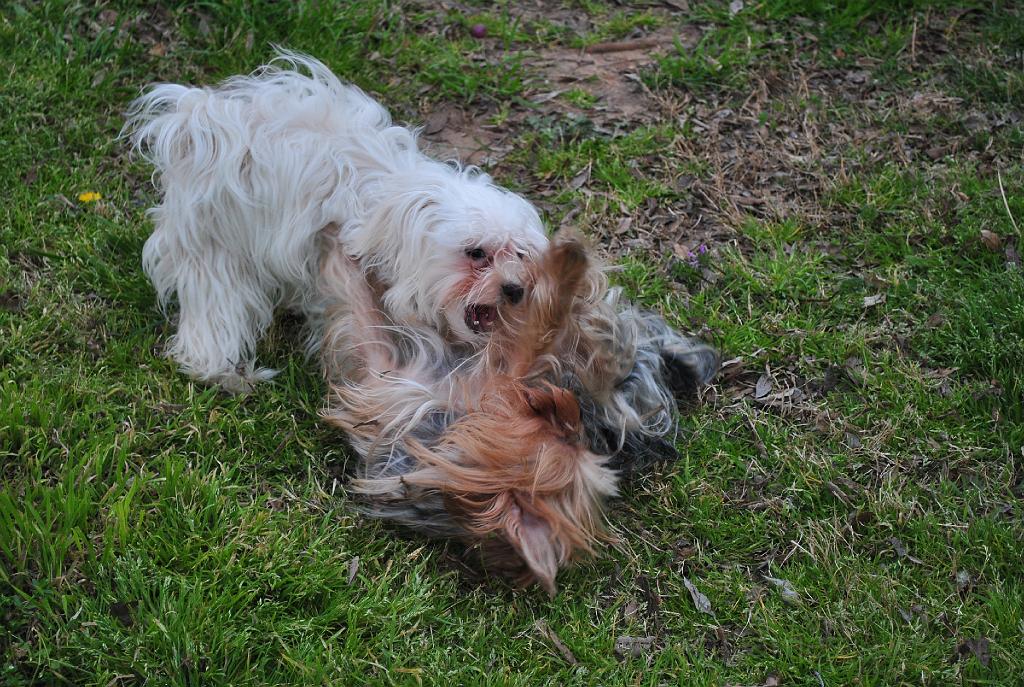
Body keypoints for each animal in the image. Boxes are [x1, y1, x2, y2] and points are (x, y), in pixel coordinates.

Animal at [123, 49, 548, 393]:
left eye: (520, 255)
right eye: (476, 253)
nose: (514, 289)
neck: (392, 219)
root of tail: (197, 116)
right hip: (216, 246)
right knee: (213, 318)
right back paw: (228, 375)